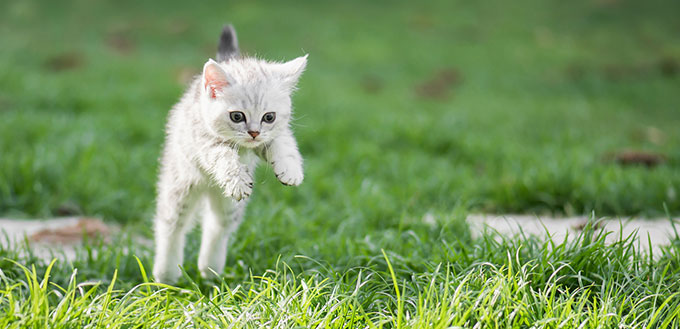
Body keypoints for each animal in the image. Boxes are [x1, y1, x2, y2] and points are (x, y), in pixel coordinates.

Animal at [153, 25, 308, 282]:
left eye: (269, 117)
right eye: (237, 116)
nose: (253, 132)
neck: (242, 146)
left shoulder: (271, 136)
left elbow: (283, 142)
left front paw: (290, 169)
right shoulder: (204, 142)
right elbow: (224, 157)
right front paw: (236, 179)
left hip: (228, 204)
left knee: (217, 226)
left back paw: (210, 268)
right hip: (180, 185)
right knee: (171, 226)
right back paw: (166, 273)